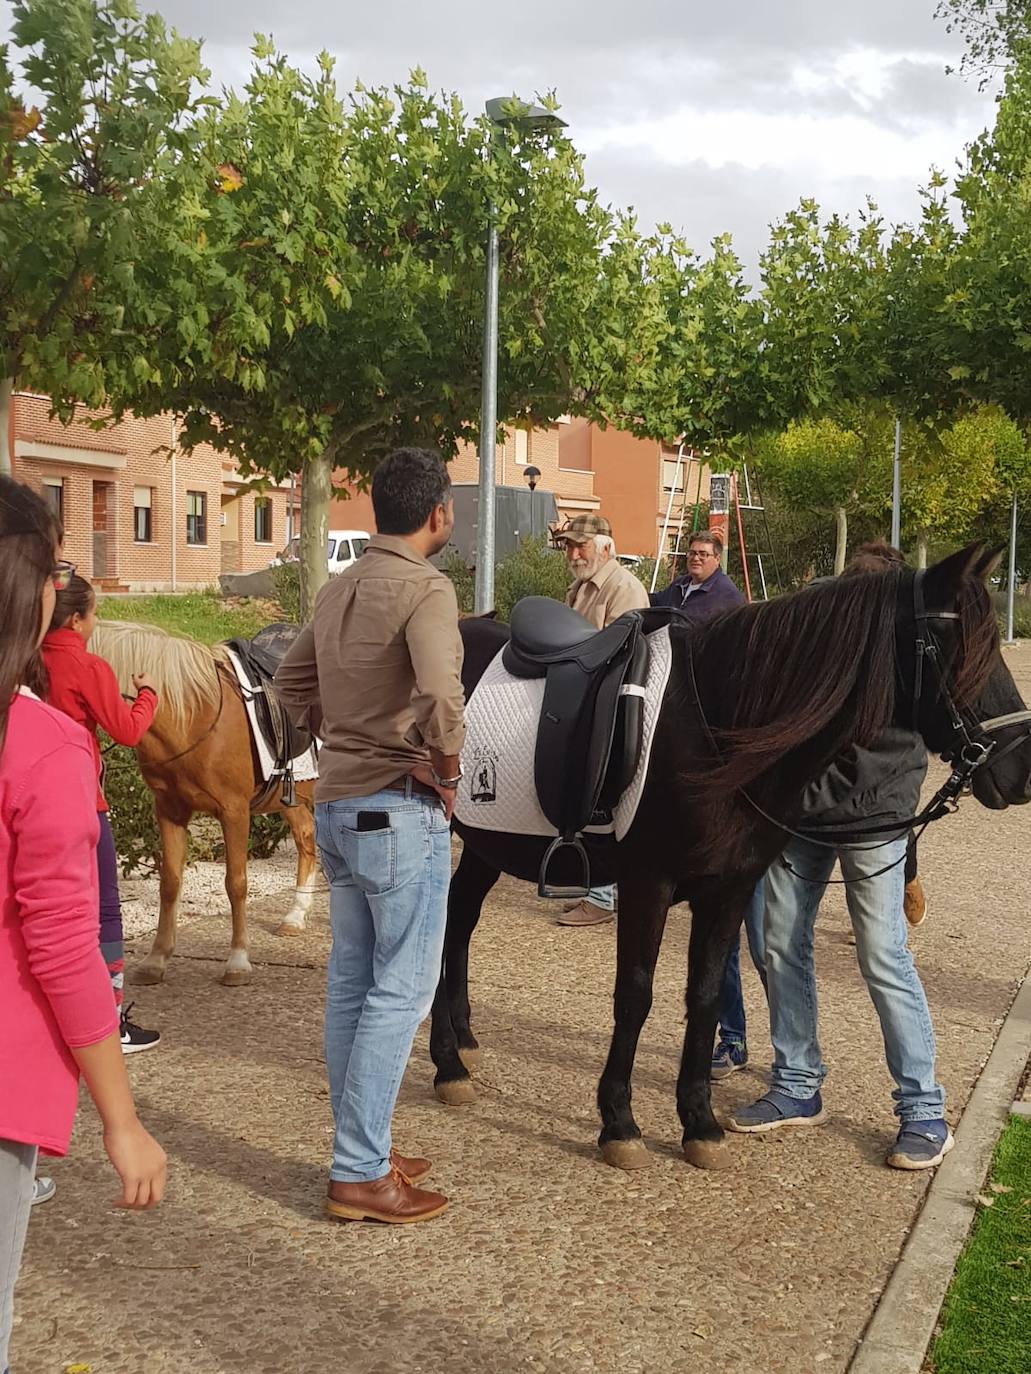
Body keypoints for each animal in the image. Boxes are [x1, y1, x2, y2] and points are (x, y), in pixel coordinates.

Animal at [92, 623, 318, 989]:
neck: (192, 715)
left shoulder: (234, 811)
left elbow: (236, 882)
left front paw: (238, 961)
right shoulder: (169, 810)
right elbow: (170, 882)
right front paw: (157, 959)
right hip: (292, 796)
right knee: (306, 837)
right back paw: (296, 915)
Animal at [428, 546, 1031, 1170]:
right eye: (961, 649)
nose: (1021, 770)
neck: (714, 728)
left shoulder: (729, 890)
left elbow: (706, 995)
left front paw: (699, 1123)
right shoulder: (648, 884)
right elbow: (636, 995)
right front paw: (619, 1123)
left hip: (486, 841)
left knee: (459, 921)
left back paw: (461, 1049)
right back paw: (447, 1062)